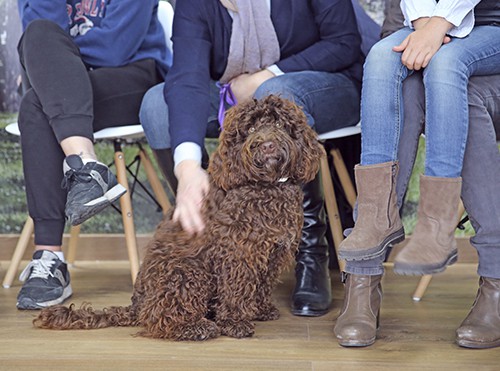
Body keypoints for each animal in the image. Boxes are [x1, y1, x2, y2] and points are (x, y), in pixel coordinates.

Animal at [34, 95, 324, 340]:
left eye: (279, 123)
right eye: (251, 128)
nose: (267, 144)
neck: (267, 187)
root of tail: (136, 305)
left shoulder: (272, 253)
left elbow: (262, 285)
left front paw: (262, 310)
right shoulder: (237, 254)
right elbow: (235, 290)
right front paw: (235, 322)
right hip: (187, 271)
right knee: (158, 318)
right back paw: (195, 327)